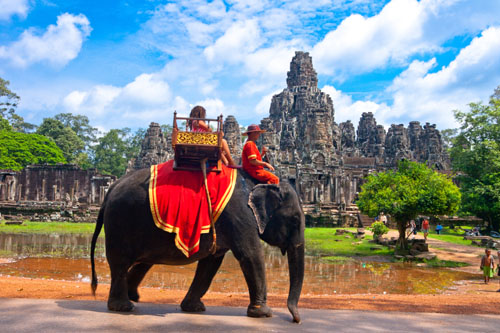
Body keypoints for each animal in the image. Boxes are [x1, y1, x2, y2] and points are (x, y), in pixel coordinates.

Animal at [92, 166, 306, 322]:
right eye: (295, 220)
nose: (296, 320)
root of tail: (111, 188)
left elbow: (211, 262)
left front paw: (194, 309)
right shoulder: (240, 215)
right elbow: (251, 255)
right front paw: (264, 314)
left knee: (143, 262)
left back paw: (133, 296)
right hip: (120, 223)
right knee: (120, 263)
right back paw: (124, 306)